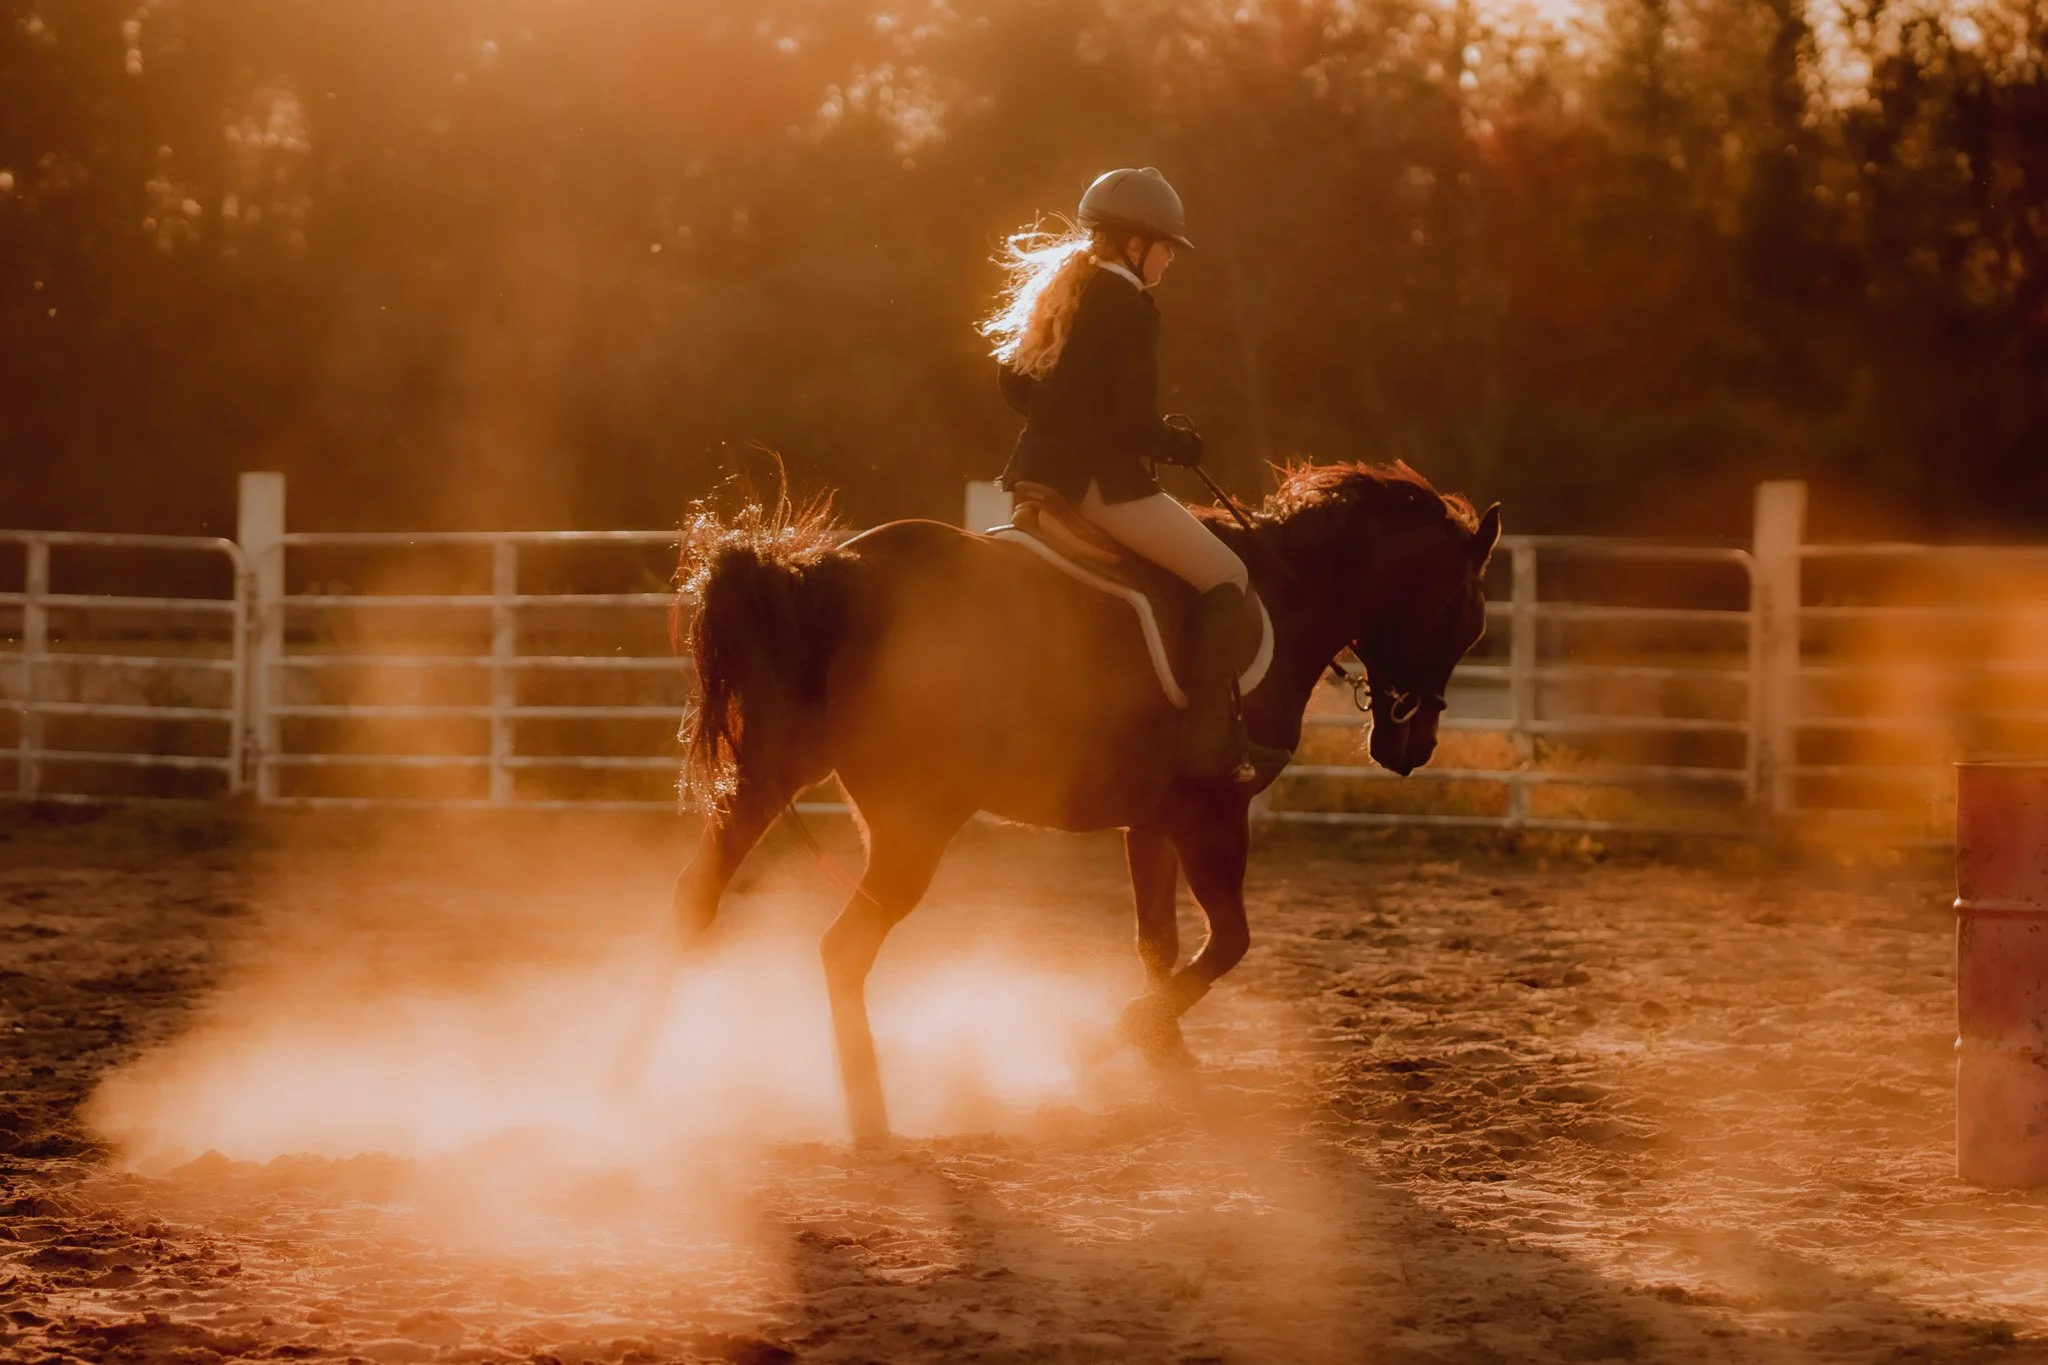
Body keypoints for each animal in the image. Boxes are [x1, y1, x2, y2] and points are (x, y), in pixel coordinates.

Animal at [668, 461, 1501, 1141]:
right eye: (1466, 618)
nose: (1411, 744)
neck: (1285, 593)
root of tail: (831, 569)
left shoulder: (1153, 821)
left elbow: (1157, 939)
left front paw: (1165, 1054)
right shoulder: (1213, 816)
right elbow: (1227, 941)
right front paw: (1112, 1038)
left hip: (772, 779)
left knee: (697, 900)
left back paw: (650, 1072)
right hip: (914, 823)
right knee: (841, 950)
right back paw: (869, 1111)